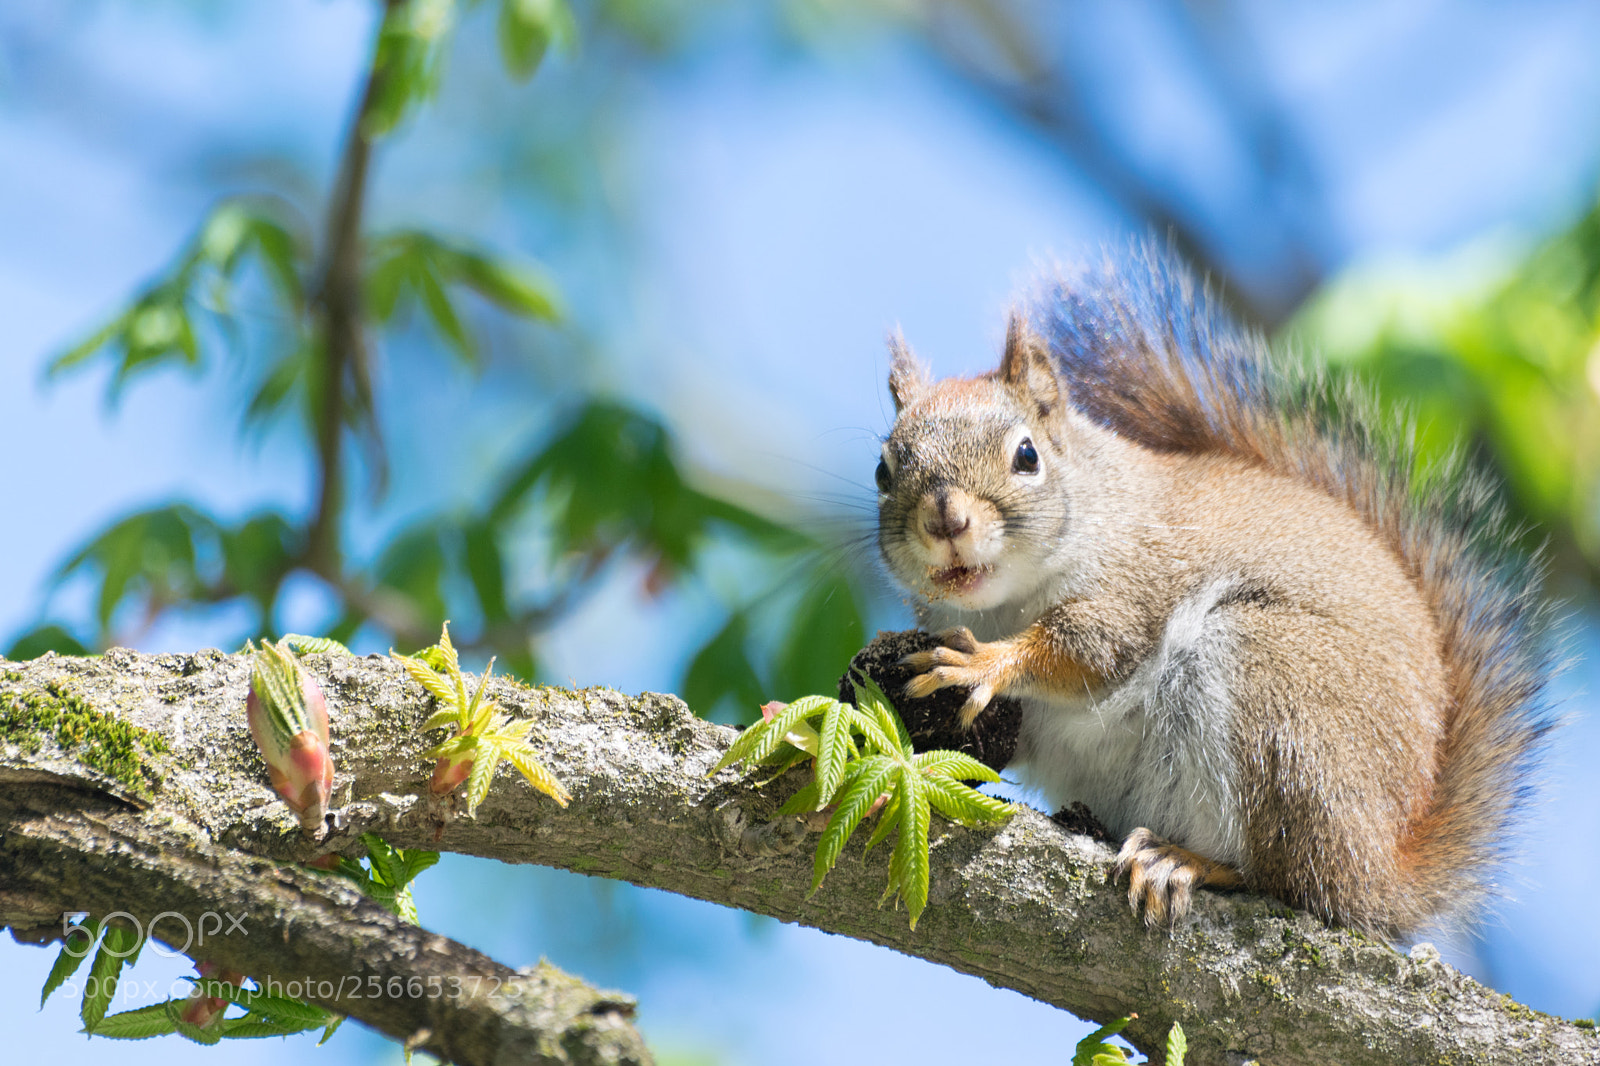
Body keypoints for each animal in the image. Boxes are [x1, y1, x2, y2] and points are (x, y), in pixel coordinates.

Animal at [874, 244, 1555, 936]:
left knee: (1286, 878)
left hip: (1277, 699)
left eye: (1027, 456)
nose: (945, 520)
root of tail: (1380, 871)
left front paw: (984, 662)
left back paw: (1183, 862)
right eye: (883, 471)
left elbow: (1088, 649)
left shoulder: (1136, 580)